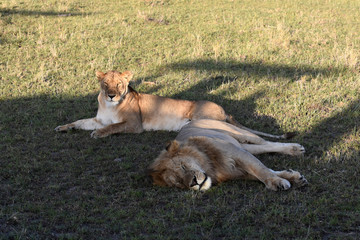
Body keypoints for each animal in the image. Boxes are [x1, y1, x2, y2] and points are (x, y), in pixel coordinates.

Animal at [54, 70, 292, 139]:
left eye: (119, 84)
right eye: (105, 84)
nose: (112, 95)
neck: (109, 106)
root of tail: (225, 110)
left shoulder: (134, 125)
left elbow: (113, 126)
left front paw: (98, 134)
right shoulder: (98, 119)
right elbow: (81, 121)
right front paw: (63, 127)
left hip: (201, 117)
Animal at [148, 119, 308, 191]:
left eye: (183, 166)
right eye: (178, 182)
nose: (193, 183)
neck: (211, 166)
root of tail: (191, 121)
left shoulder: (238, 154)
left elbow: (262, 171)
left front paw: (278, 182)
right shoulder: (239, 170)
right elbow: (266, 171)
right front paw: (293, 177)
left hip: (240, 134)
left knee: (266, 142)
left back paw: (295, 148)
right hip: (244, 145)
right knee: (263, 147)